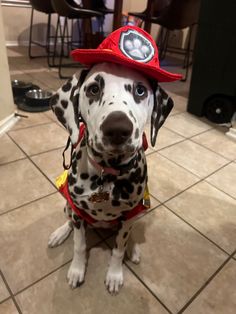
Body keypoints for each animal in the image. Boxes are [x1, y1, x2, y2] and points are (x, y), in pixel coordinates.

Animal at [48, 62, 173, 294]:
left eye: (140, 90)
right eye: (93, 89)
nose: (117, 129)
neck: (107, 173)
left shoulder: (129, 216)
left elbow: (118, 248)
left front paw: (114, 275)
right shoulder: (78, 211)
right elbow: (79, 245)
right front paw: (77, 270)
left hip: (139, 211)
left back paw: (133, 249)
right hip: (68, 206)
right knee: (68, 220)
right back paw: (59, 233)